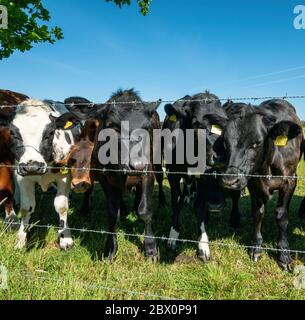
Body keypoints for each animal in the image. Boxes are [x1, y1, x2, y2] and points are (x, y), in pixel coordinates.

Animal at [9, 99, 80, 249]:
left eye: (50, 133)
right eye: (13, 133)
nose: (32, 166)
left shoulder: (64, 177)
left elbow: (61, 206)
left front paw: (66, 239)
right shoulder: (22, 177)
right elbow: (26, 208)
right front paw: (20, 241)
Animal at [205, 100, 302, 270]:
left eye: (256, 143)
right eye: (225, 142)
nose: (229, 180)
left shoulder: (290, 180)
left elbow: (282, 216)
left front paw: (284, 253)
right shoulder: (252, 182)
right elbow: (258, 213)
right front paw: (256, 246)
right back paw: (235, 220)